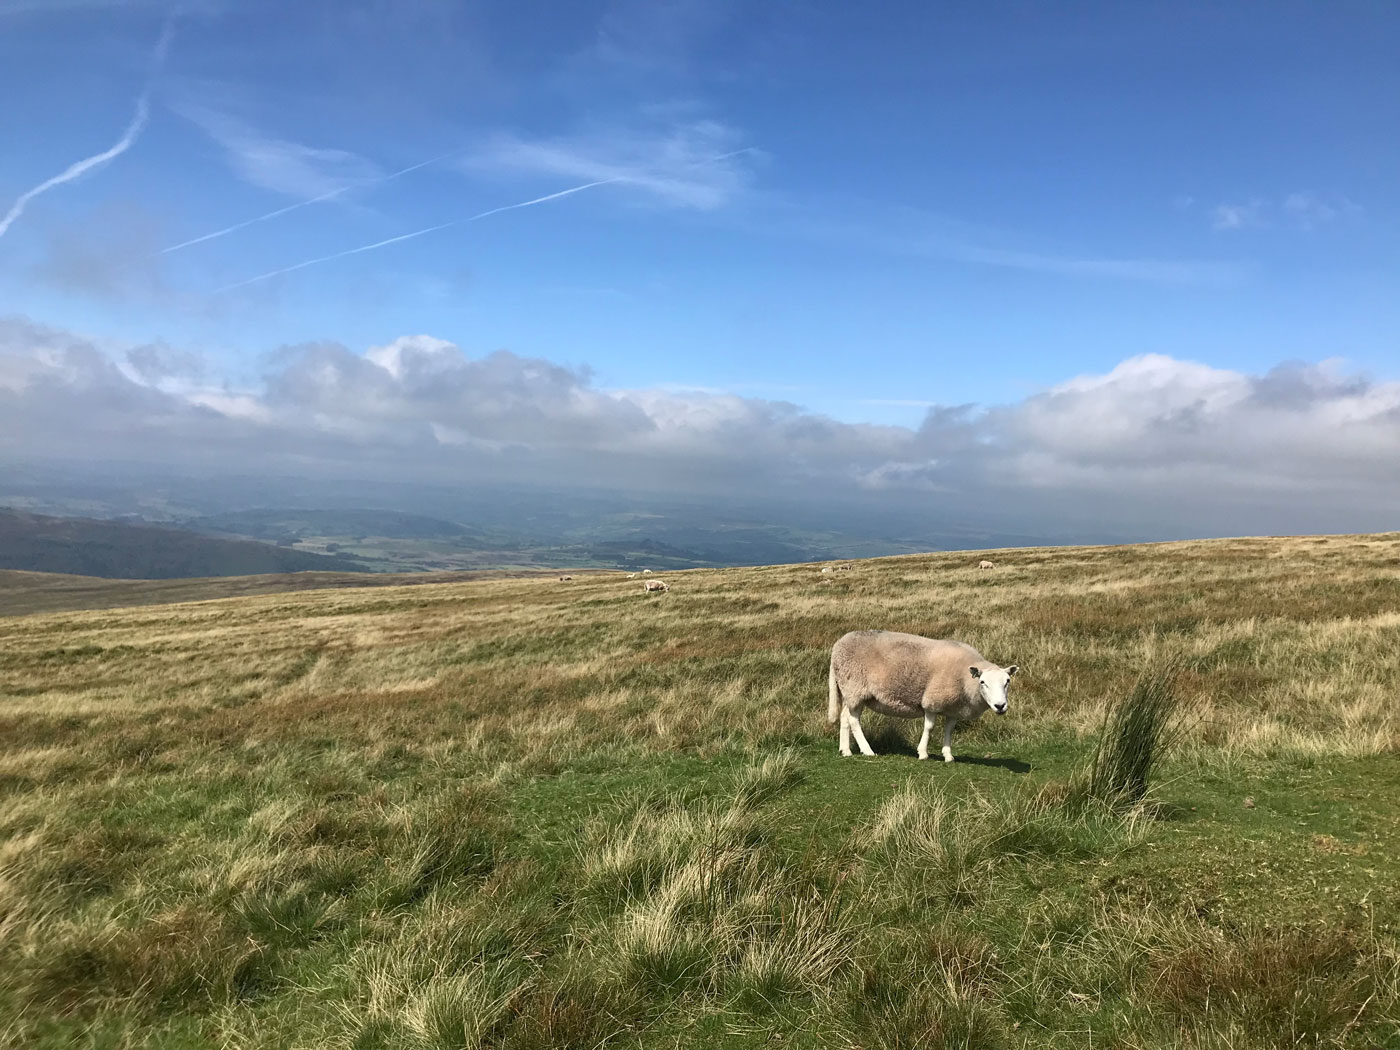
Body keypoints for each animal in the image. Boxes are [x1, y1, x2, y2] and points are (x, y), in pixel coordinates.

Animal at [823, 632, 1024, 767]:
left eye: (1007, 681)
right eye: (983, 682)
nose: (1000, 706)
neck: (964, 678)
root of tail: (837, 646)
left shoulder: (953, 708)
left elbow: (949, 730)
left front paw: (948, 755)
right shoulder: (932, 701)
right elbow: (929, 727)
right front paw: (923, 753)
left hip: (851, 692)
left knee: (844, 717)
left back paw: (846, 751)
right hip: (855, 688)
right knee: (854, 720)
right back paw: (868, 751)